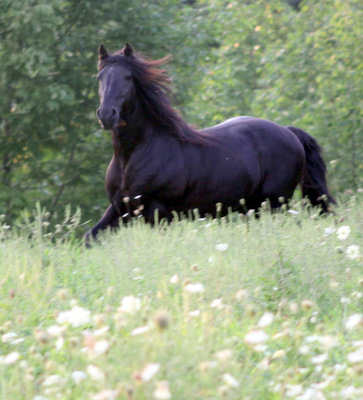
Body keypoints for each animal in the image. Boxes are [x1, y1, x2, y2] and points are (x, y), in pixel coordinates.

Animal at [84, 45, 334, 242]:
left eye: (127, 78)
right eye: (100, 78)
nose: (106, 115)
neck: (132, 156)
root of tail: (289, 132)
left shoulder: (158, 213)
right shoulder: (119, 210)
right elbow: (89, 238)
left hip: (274, 203)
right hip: (253, 207)